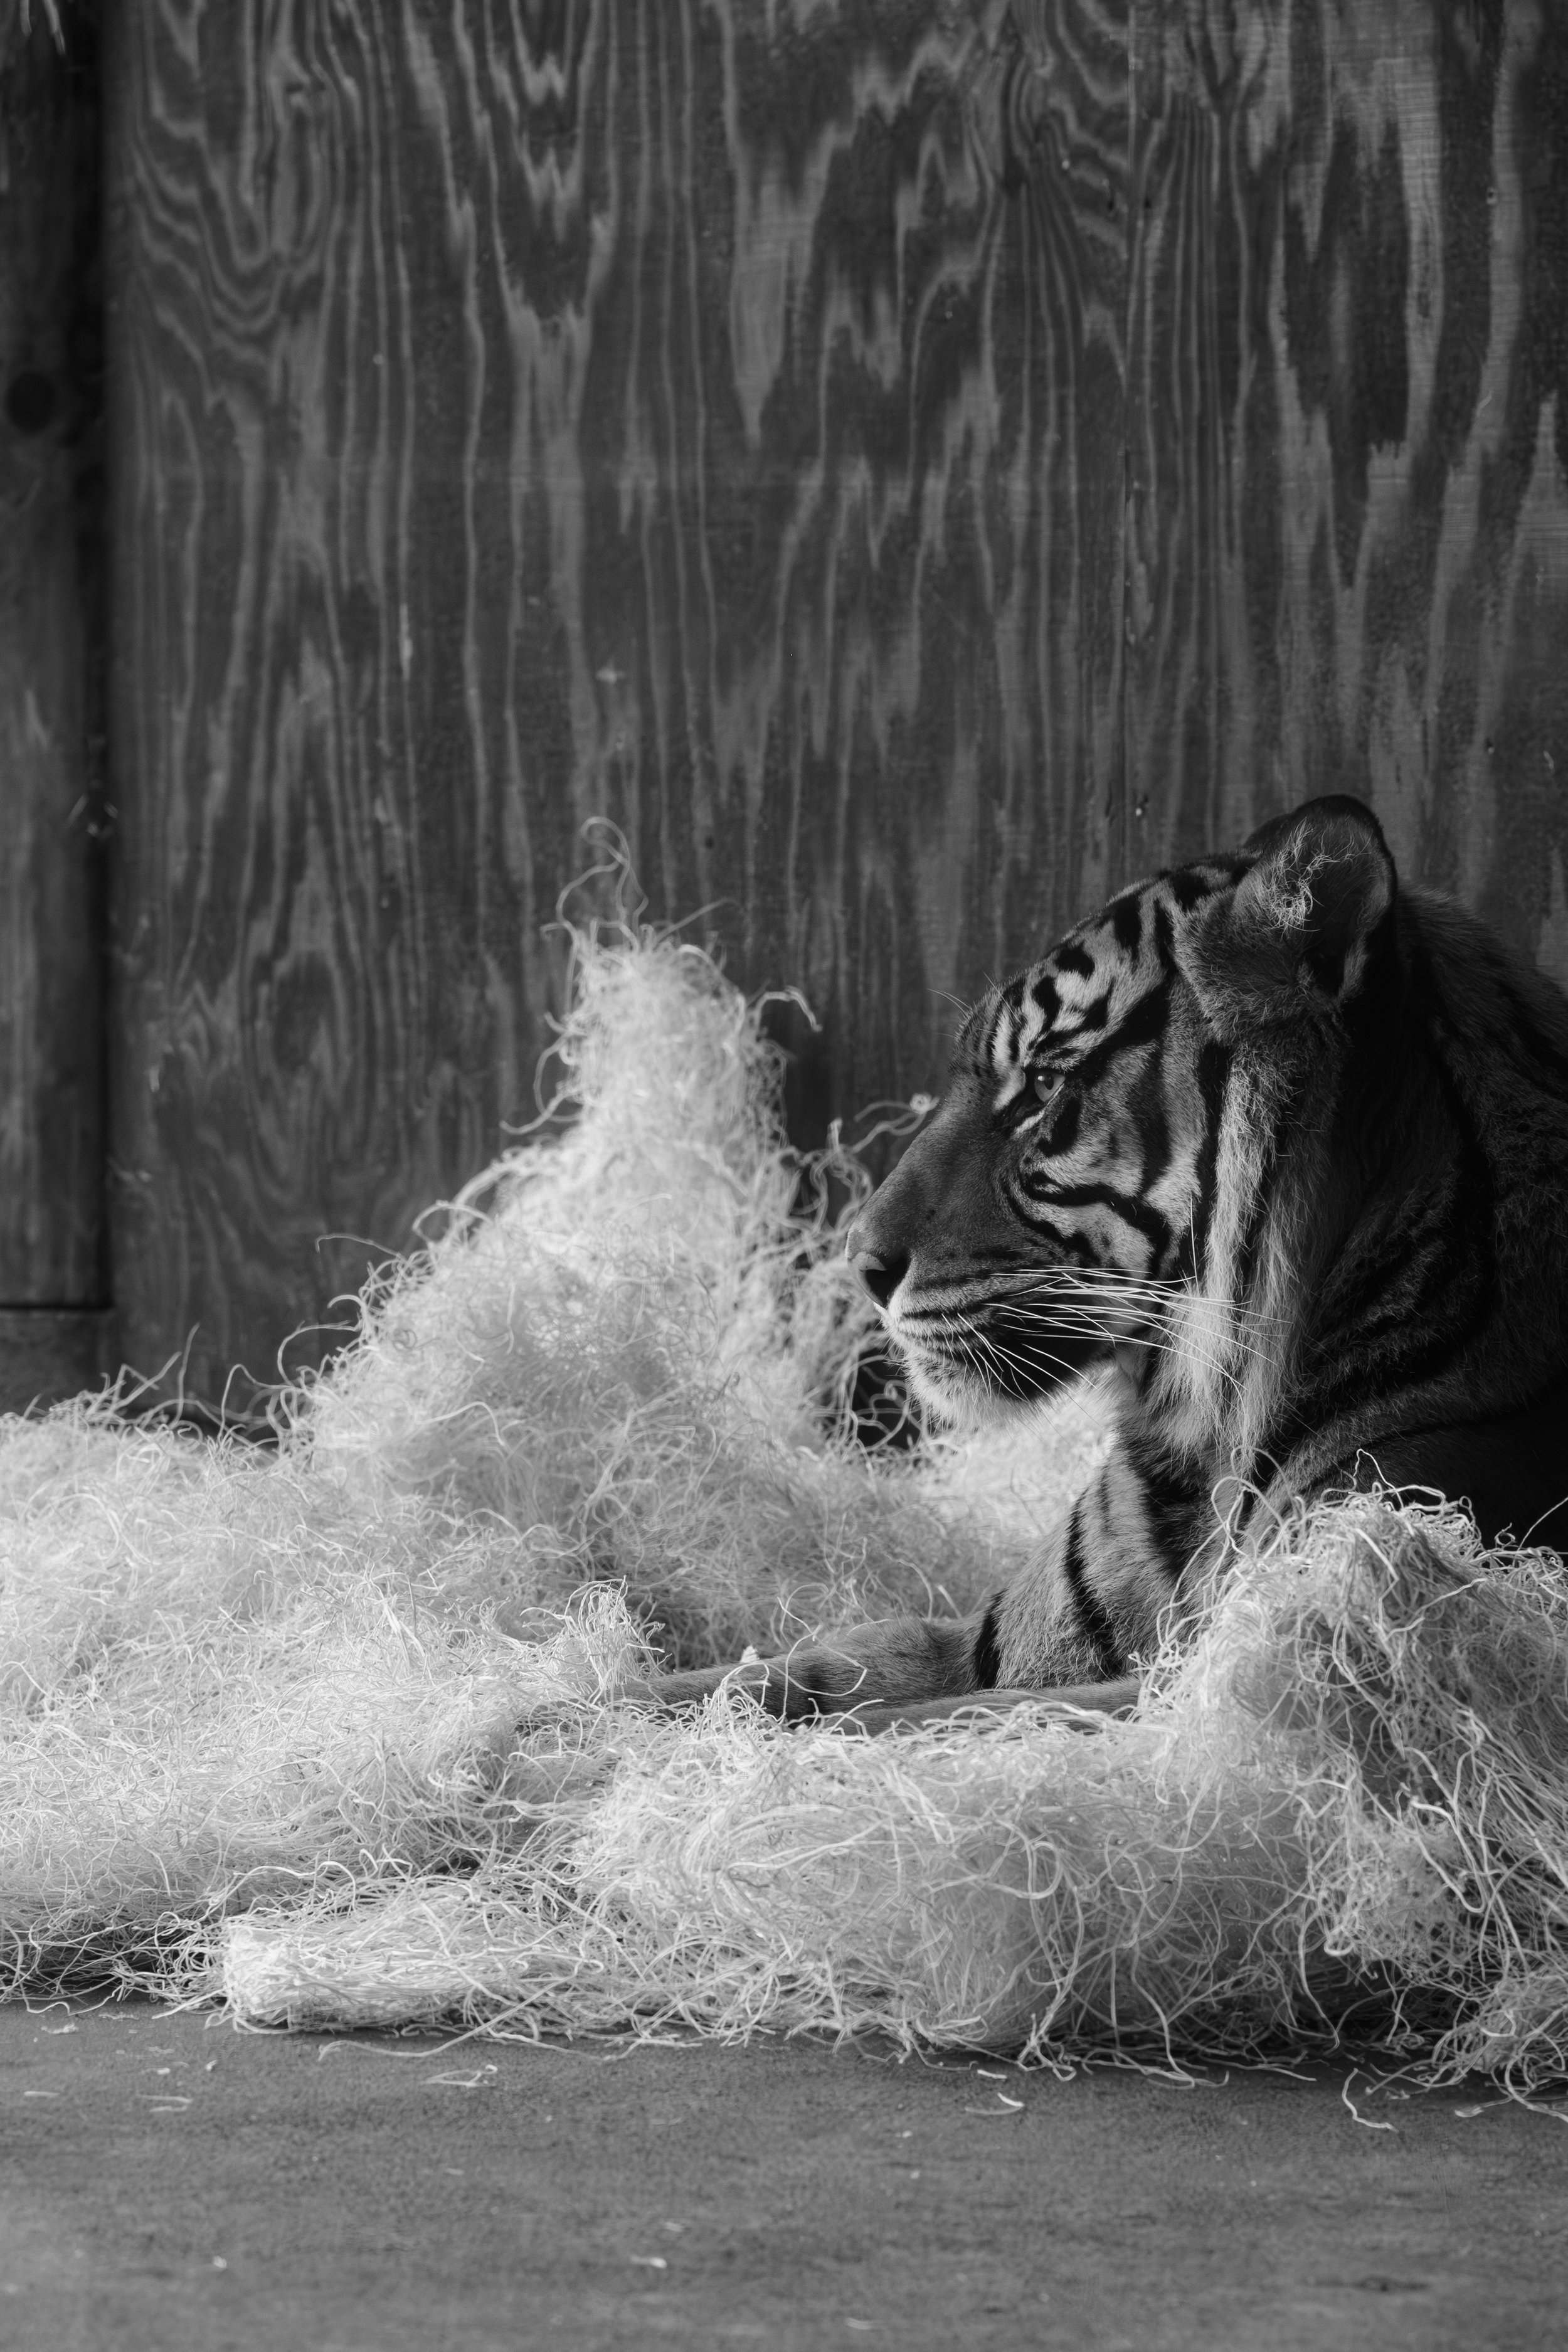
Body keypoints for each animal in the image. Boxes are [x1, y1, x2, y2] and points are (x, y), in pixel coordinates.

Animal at [649, 794, 1568, 1731]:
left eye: (1042, 1089)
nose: (860, 1263)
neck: (1197, 1447)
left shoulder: (1219, 1667)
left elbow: (910, 1725)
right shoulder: (987, 1636)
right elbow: (788, 1674)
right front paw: (612, 1696)